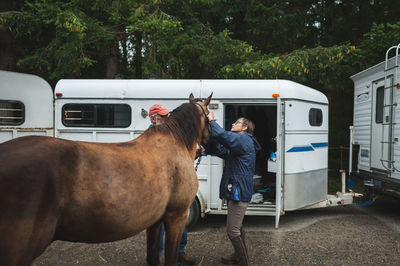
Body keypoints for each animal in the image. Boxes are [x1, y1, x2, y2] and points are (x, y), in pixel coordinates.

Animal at [0, 93, 212, 266]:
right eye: (210, 116)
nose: (206, 146)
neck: (175, 142)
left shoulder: (156, 220)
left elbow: (152, 256)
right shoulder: (177, 216)